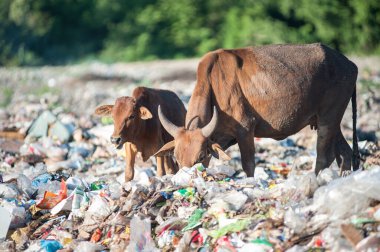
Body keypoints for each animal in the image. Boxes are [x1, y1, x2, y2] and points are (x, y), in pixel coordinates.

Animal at [155, 43, 360, 176]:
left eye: (200, 157)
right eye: (176, 158)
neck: (214, 83)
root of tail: (349, 64)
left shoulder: (245, 130)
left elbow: (248, 165)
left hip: (328, 119)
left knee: (324, 157)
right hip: (327, 121)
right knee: (344, 153)